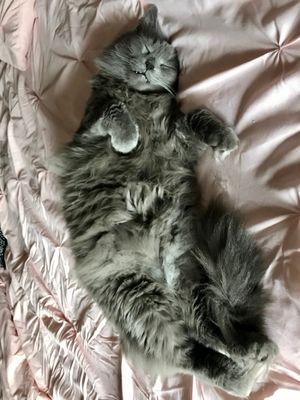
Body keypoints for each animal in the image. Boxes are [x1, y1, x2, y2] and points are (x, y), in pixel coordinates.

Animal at [54, 6, 276, 396]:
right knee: (193, 352)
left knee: (203, 338)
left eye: (161, 62)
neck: (140, 97)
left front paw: (224, 138)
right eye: (144, 50)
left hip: (180, 278)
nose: (148, 65)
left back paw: (250, 357)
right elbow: (116, 112)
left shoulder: (176, 136)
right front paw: (128, 138)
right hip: (143, 299)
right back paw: (248, 367)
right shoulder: (94, 122)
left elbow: (198, 117)